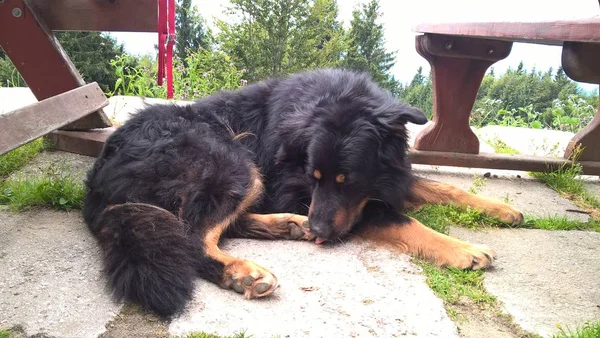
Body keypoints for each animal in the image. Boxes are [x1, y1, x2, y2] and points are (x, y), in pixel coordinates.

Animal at [82, 68, 524, 316]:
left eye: (348, 180)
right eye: (315, 176)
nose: (322, 233)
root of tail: (98, 182)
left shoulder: (385, 175)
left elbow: (441, 186)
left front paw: (499, 209)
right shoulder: (297, 190)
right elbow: (396, 217)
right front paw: (462, 248)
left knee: (225, 224)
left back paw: (288, 227)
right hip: (234, 159)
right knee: (194, 237)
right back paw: (243, 271)